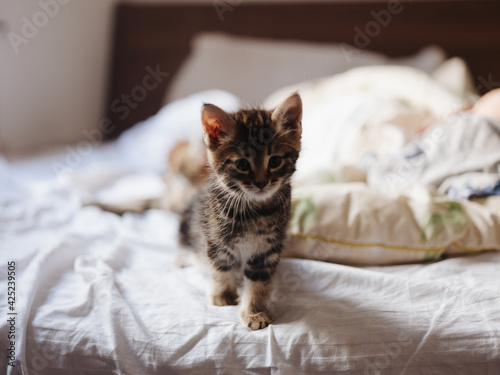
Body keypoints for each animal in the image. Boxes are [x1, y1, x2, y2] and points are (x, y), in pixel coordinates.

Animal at [181, 94, 302, 332]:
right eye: (242, 164)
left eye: (275, 161)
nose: (261, 182)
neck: (255, 209)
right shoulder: (216, 242)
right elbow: (221, 268)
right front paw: (223, 295)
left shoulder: (266, 250)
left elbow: (258, 284)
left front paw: (255, 313)